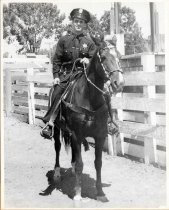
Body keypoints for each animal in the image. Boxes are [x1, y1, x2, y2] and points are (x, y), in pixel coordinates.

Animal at [52, 39, 123, 202]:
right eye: (104, 57)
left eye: (120, 56)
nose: (119, 83)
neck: (89, 98)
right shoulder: (77, 134)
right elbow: (80, 164)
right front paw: (78, 193)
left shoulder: (100, 136)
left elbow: (98, 163)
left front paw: (100, 192)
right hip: (58, 129)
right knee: (58, 147)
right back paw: (57, 173)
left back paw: (71, 170)